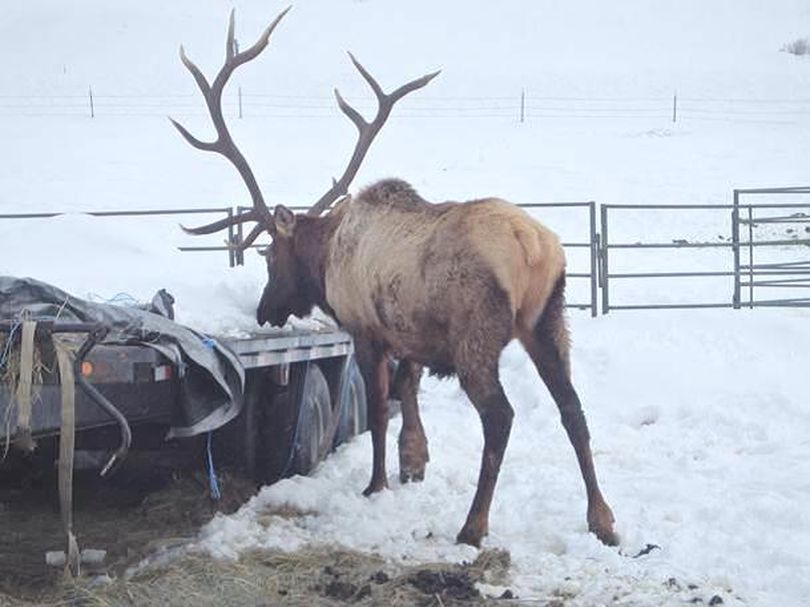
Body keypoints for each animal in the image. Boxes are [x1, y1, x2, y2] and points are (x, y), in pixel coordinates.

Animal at [174, 7, 616, 548]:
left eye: (268, 255)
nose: (265, 311)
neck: (328, 256)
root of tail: (533, 248)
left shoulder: (366, 329)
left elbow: (381, 408)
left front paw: (377, 483)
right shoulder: (411, 336)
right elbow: (409, 391)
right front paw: (414, 464)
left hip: (477, 333)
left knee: (500, 416)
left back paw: (473, 526)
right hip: (548, 321)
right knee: (573, 407)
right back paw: (603, 520)